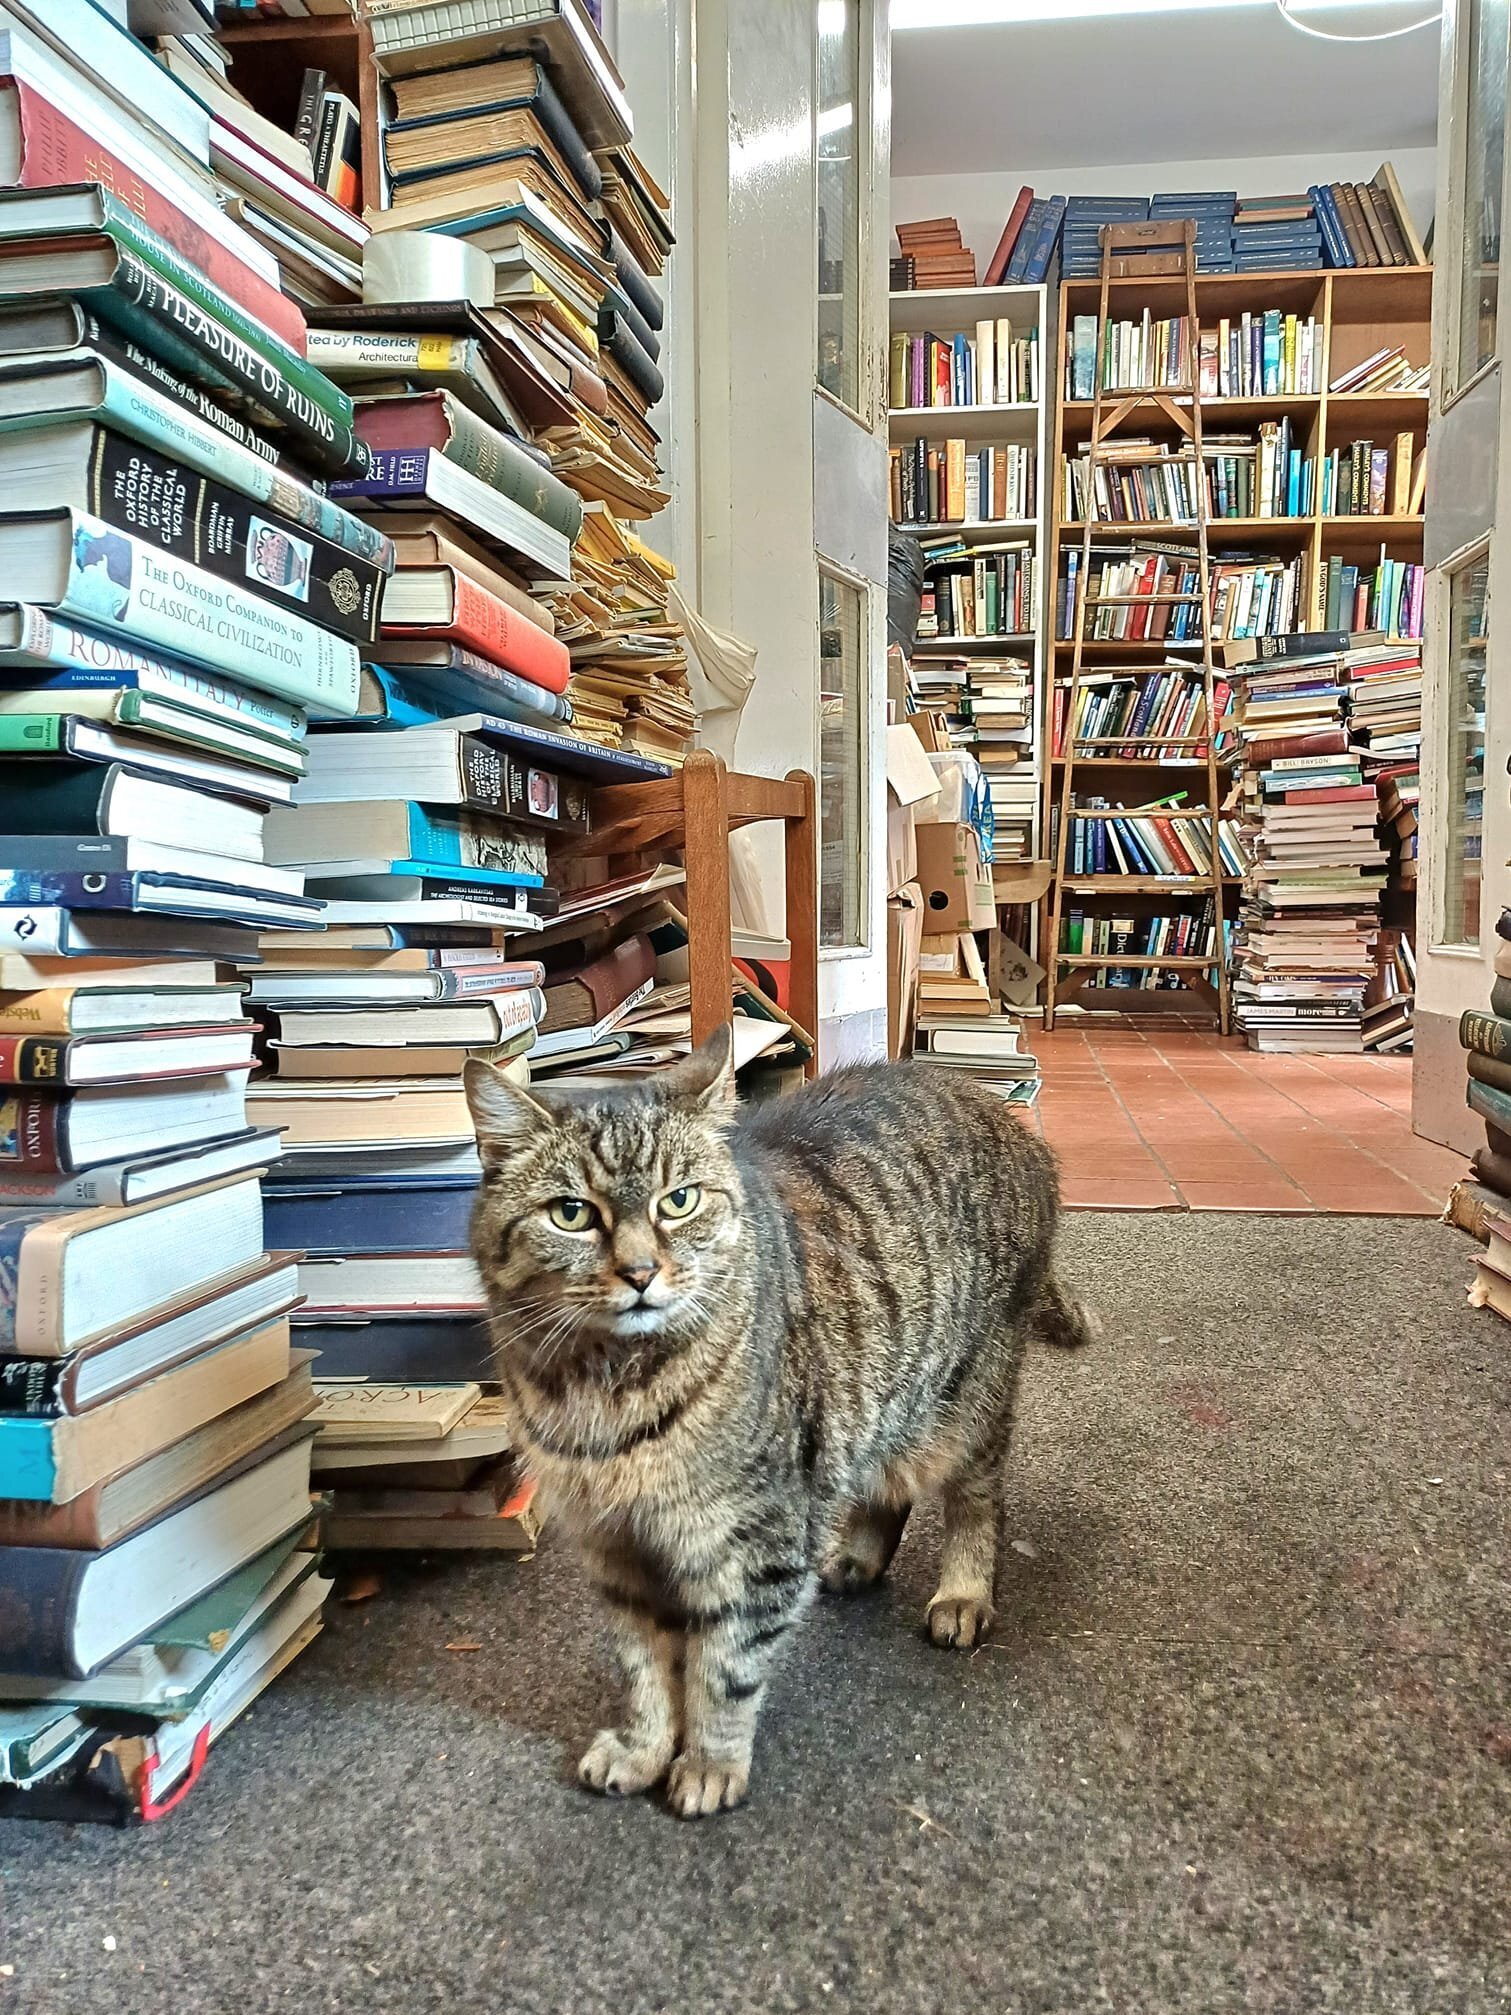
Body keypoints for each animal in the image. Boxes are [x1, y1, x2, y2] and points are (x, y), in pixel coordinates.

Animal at [461, 1031, 1087, 1821]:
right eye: (571, 1213)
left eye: (679, 1201)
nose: (639, 1271)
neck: (605, 1390)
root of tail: (996, 1106)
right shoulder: (615, 1551)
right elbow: (644, 1671)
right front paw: (642, 1748)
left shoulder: (757, 1540)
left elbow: (722, 1670)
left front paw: (707, 1763)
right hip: (875, 1400)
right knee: (883, 1482)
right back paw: (857, 1556)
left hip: (968, 1401)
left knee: (976, 1503)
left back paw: (964, 1594)